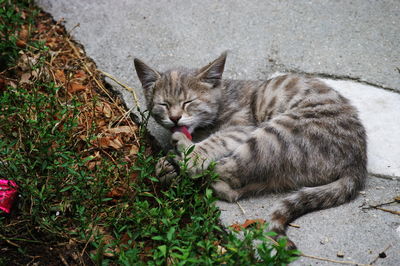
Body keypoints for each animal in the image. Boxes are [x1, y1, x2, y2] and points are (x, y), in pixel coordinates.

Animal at [134, 52, 366, 249]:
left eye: (188, 102)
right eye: (163, 104)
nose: (175, 118)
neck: (224, 96)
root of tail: (357, 164)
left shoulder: (241, 128)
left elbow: (215, 141)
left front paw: (186, 153)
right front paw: (168, 161)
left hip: (274, 134)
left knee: (228, 169)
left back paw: (184, 157)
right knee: (237, 186)